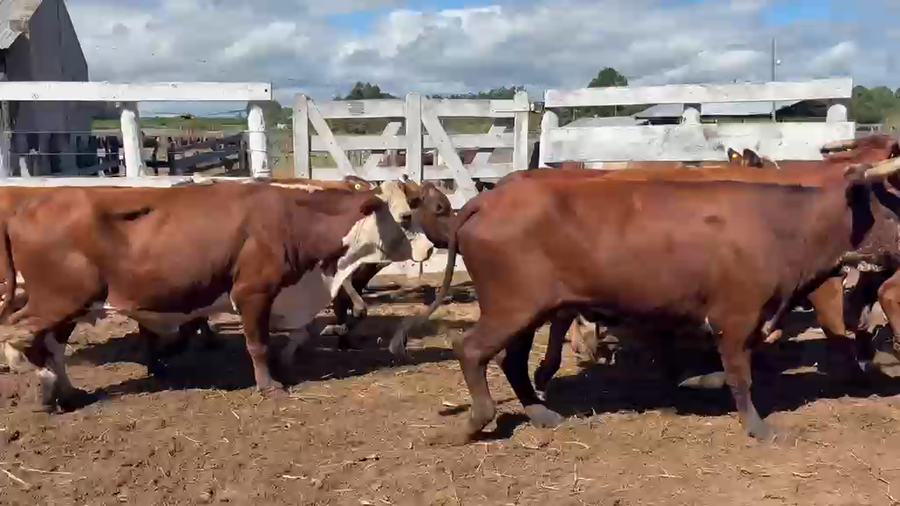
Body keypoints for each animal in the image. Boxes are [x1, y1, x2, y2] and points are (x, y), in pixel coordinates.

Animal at [0, 180, 426, 413]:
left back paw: (66, 392)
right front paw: (269, 384)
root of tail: (27, 206)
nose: (427, 249)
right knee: (19, 331)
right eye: (405, 217)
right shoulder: (253, 292)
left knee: (50, 345)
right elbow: (257, 344)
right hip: (60, 299)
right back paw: (40, 383)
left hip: (70, 305)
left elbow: (298, 334)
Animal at [390, 154, 900, 445]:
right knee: (471, 349)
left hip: (530, 311)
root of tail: (489, 199)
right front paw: (758, 428)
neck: (784, 226)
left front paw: (696, 382)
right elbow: (741, 375)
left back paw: (540, 412)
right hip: (511, 306)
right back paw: (477, 422)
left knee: (509, 360)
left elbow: (728, 369)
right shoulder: (736, 314)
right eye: (893, 211)